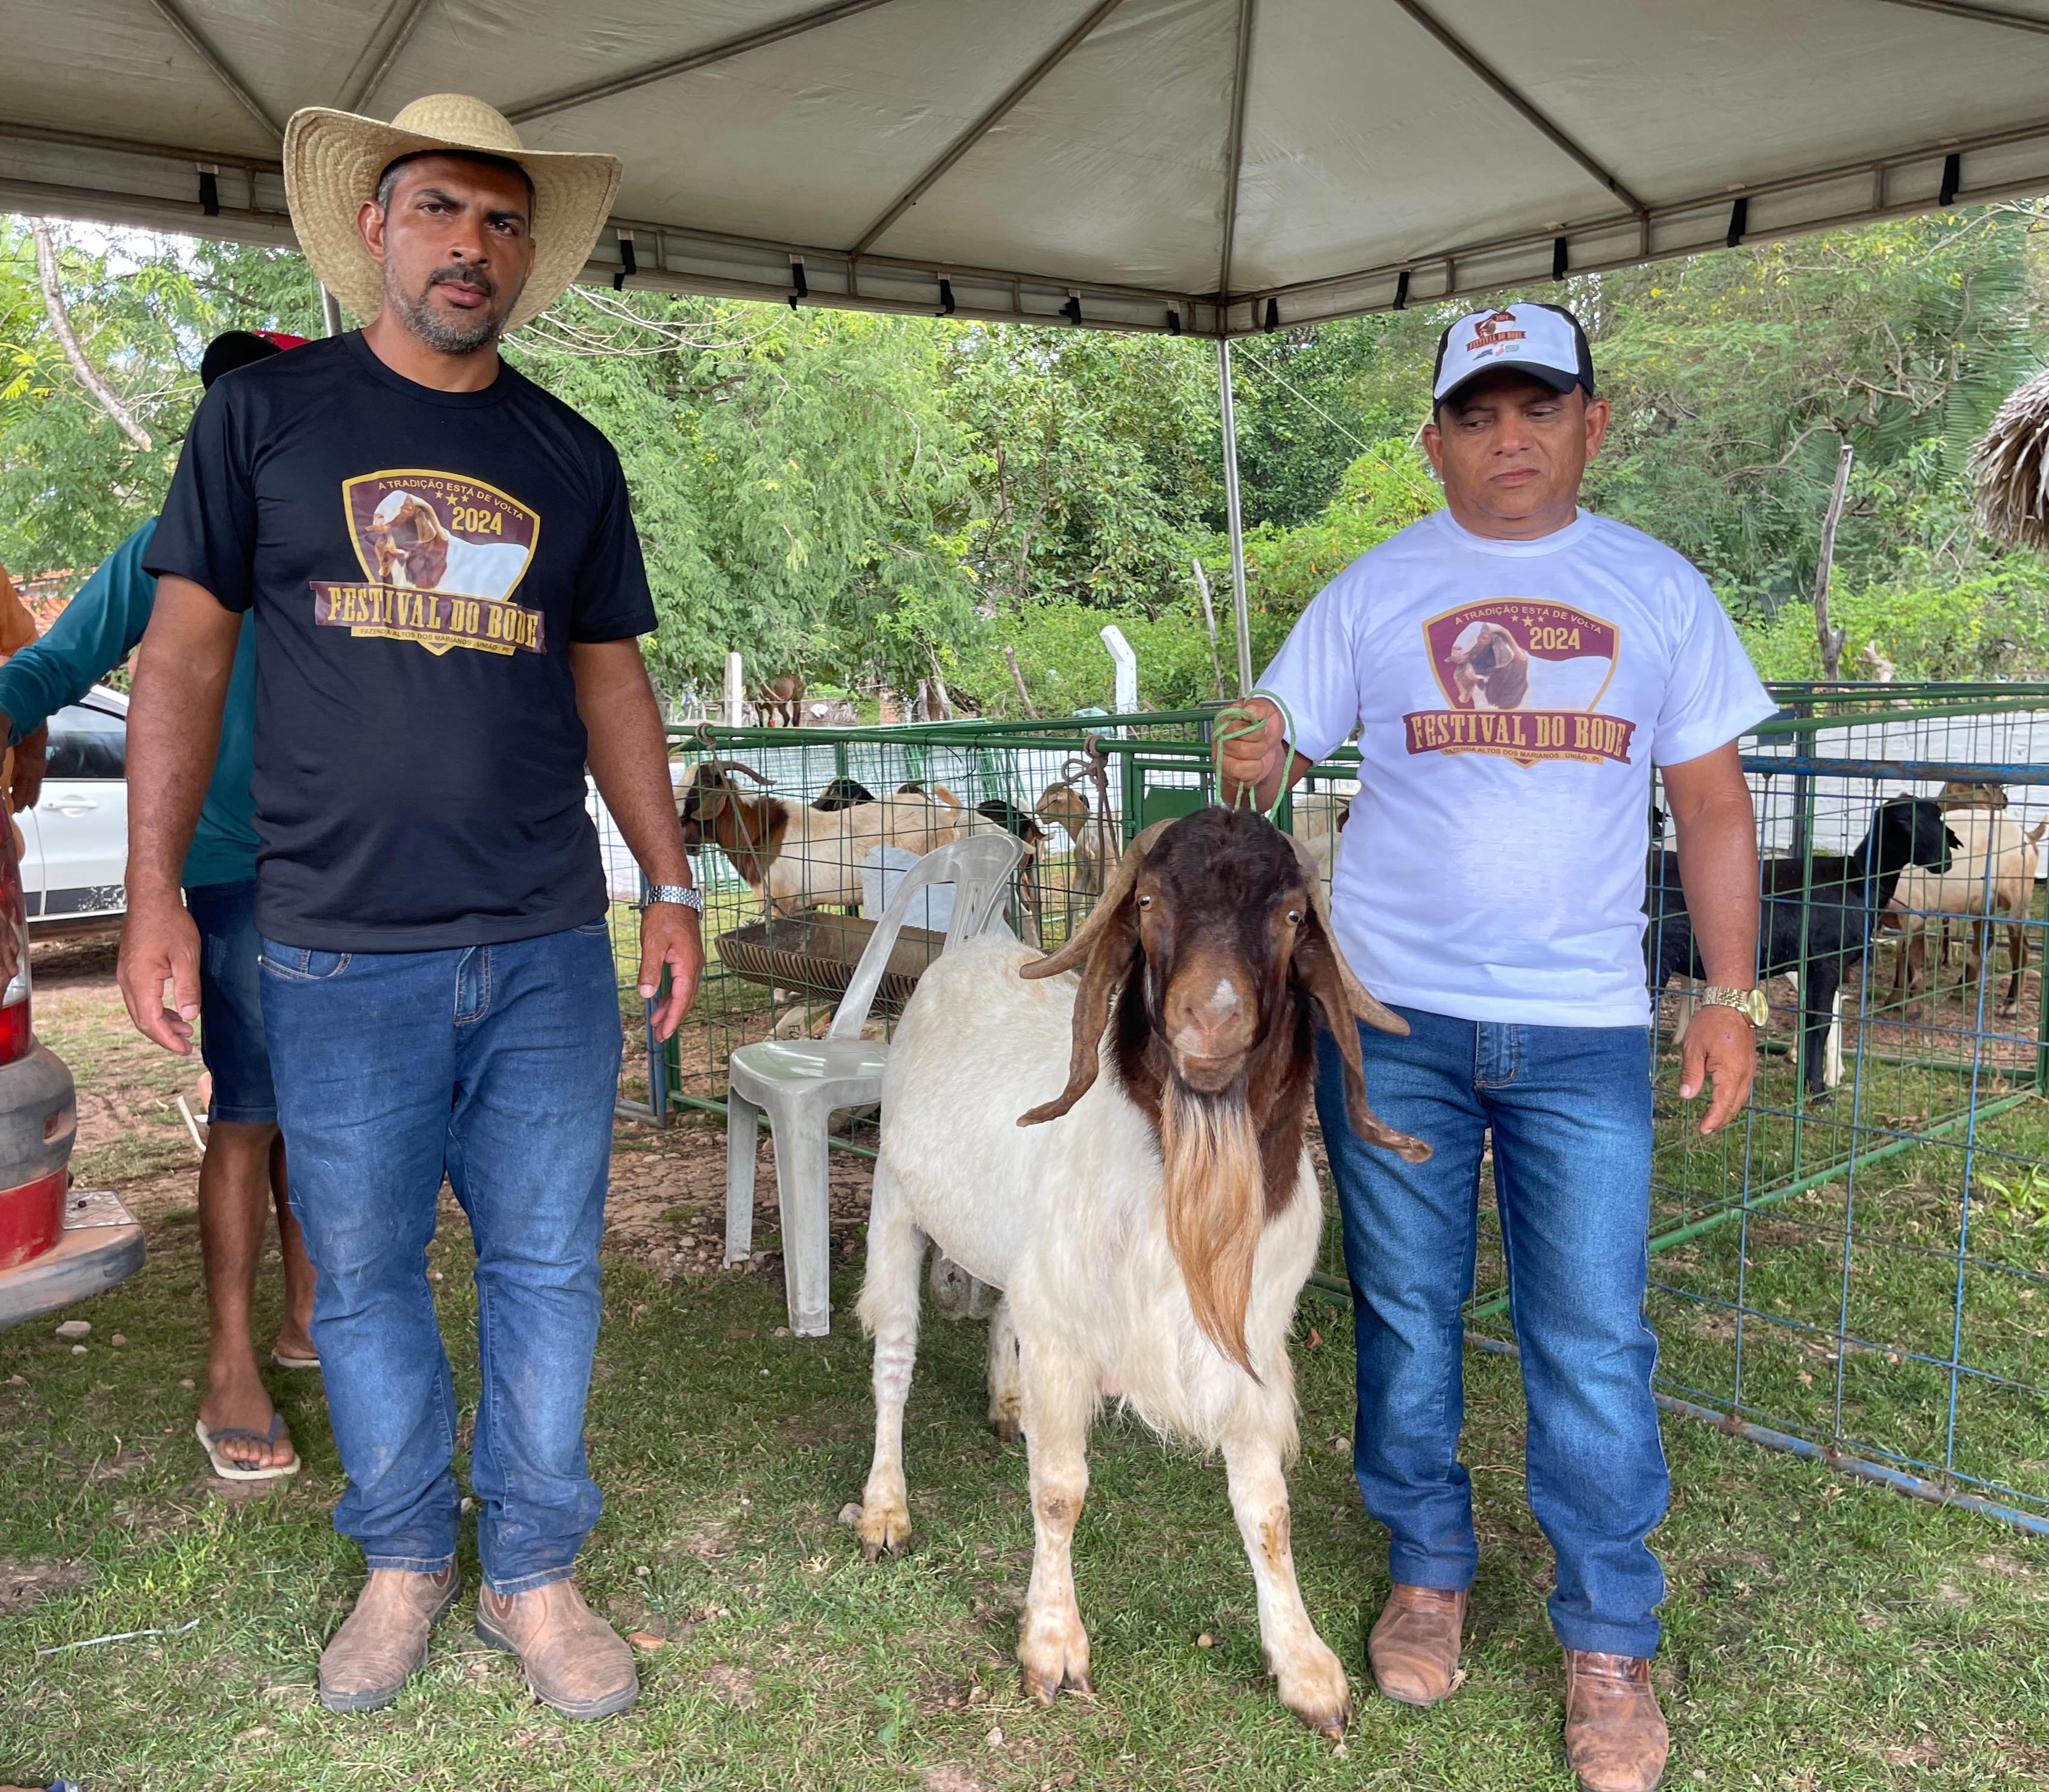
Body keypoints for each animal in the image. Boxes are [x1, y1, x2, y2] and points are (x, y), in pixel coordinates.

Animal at [856, 810, 1434, 1737]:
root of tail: (973, 949)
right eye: (1151, 900)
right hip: (895, 1204)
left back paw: (1006, 1405)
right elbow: (1060, 1492)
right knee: (894, 1360)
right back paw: (884, 1509)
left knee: (1000, 1315)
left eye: (1291, 917)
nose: (1212, 1021)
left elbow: (1267, 1513)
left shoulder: (1246, 1345)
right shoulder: (1065, 1335)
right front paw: (1053, 1649)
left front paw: (1307, 1668)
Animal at [1647, 803, 1950, 1106]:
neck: (1859, 881)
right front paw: (1817, 1090)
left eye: (1938, 818)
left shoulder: (1815, 964)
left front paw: (1812, 1085)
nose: (1945, 860)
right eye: (1904, 821)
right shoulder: (1826, 961)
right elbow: (1818, 1022)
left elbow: (1814, 1019)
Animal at [1885, 815, 2049, 1015]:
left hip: (2017, 897)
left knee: (2020, 947)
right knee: (1986, 938)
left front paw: (1909, 1006)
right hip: (1982, 903)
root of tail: (2027, 836)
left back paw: (2010, 1005)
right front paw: (1895, 1000)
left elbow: (1909, 954)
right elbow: (1902, 953)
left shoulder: (1914, 909)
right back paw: (1960, 990)